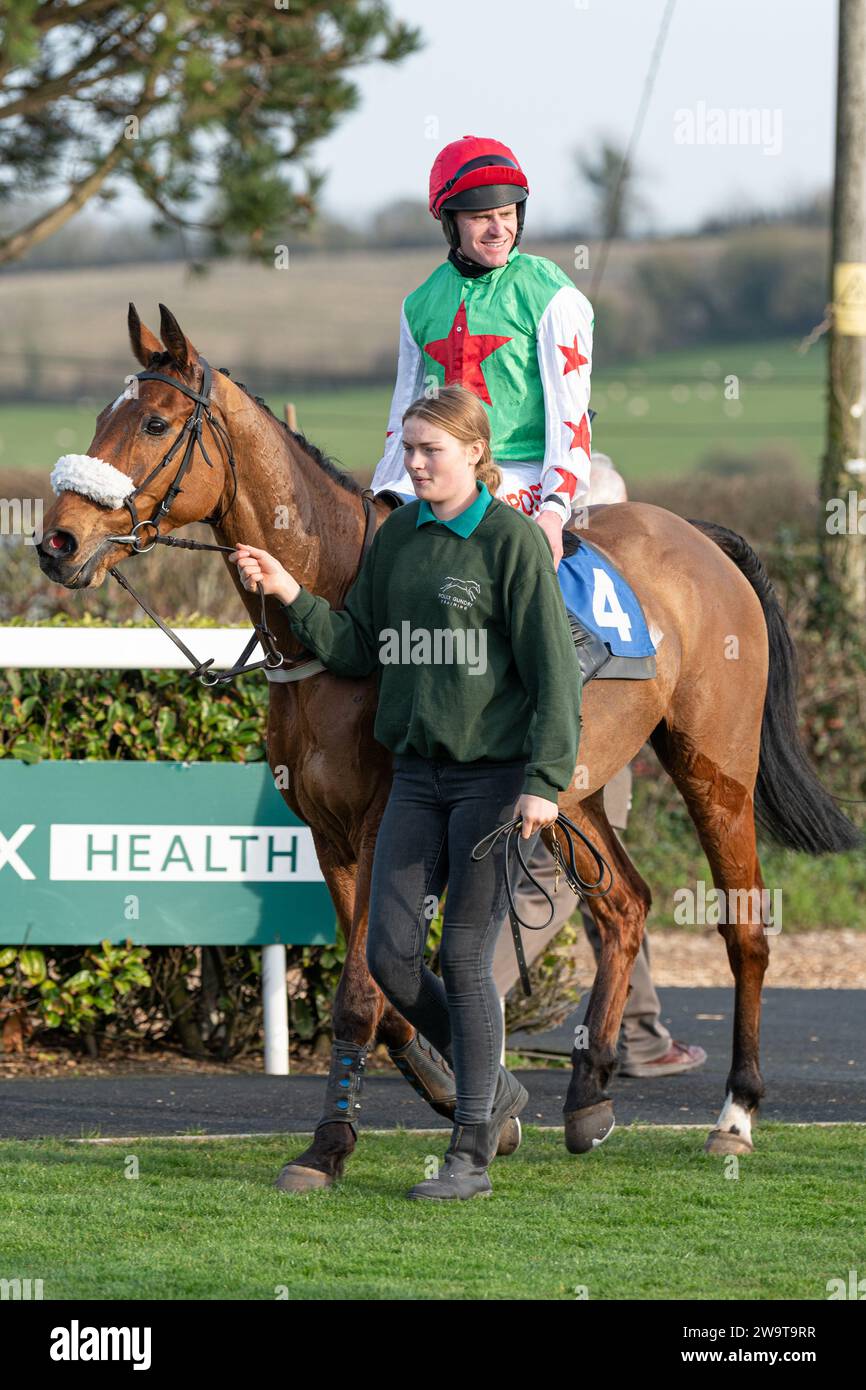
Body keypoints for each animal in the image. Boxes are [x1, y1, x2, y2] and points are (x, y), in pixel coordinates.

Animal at [38, 309, 861, 1189]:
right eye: (102, 418)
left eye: (155, 423)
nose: (57, 541)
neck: (343, 608)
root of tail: (698, 539)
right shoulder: (329, 835)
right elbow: (387, 988)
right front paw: (472, 1092)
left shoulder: (381, 823)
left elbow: (361, 995)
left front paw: (331, 1145)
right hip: (570, 793)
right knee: (625, 908)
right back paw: (588, 1095)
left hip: (716, 767)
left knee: (745, 932)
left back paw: (735, 1114)